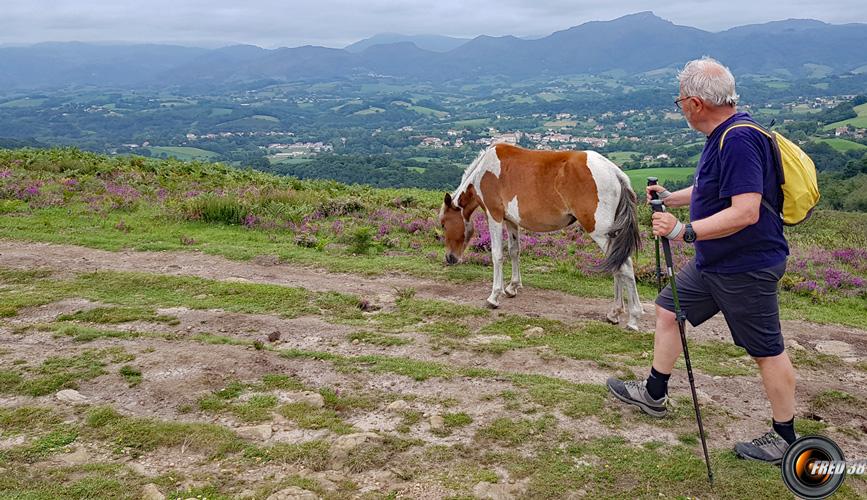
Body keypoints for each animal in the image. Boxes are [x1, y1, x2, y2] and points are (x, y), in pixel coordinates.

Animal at [440, 145, 644, 330]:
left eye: (443, 224)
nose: (450, 258)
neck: (484, 171)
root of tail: (615, 172)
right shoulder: (510, 220)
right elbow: (514, 251)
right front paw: (512, 287)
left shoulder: (494, 216)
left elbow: (497, 255)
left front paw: (494, 297)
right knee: (617, 266)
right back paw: (614, 313)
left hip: (600, 232)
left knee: (625, 267)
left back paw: (633, 319)